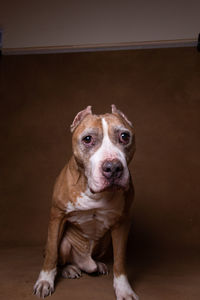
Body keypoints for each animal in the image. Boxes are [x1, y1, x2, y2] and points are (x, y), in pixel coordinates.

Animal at [33, 104, 139, 298]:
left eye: (124, 136)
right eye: (88, 139)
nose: (113, 168)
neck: (94, 192)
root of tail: (85, 262)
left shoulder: (122, 223)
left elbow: (120, 260)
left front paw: (124, 289)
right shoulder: (57, 216)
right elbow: (52, 253)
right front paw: (45, 281)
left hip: (105, 242)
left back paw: (99, 265)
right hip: (65, 244)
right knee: (60, 257)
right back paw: (69, 269)